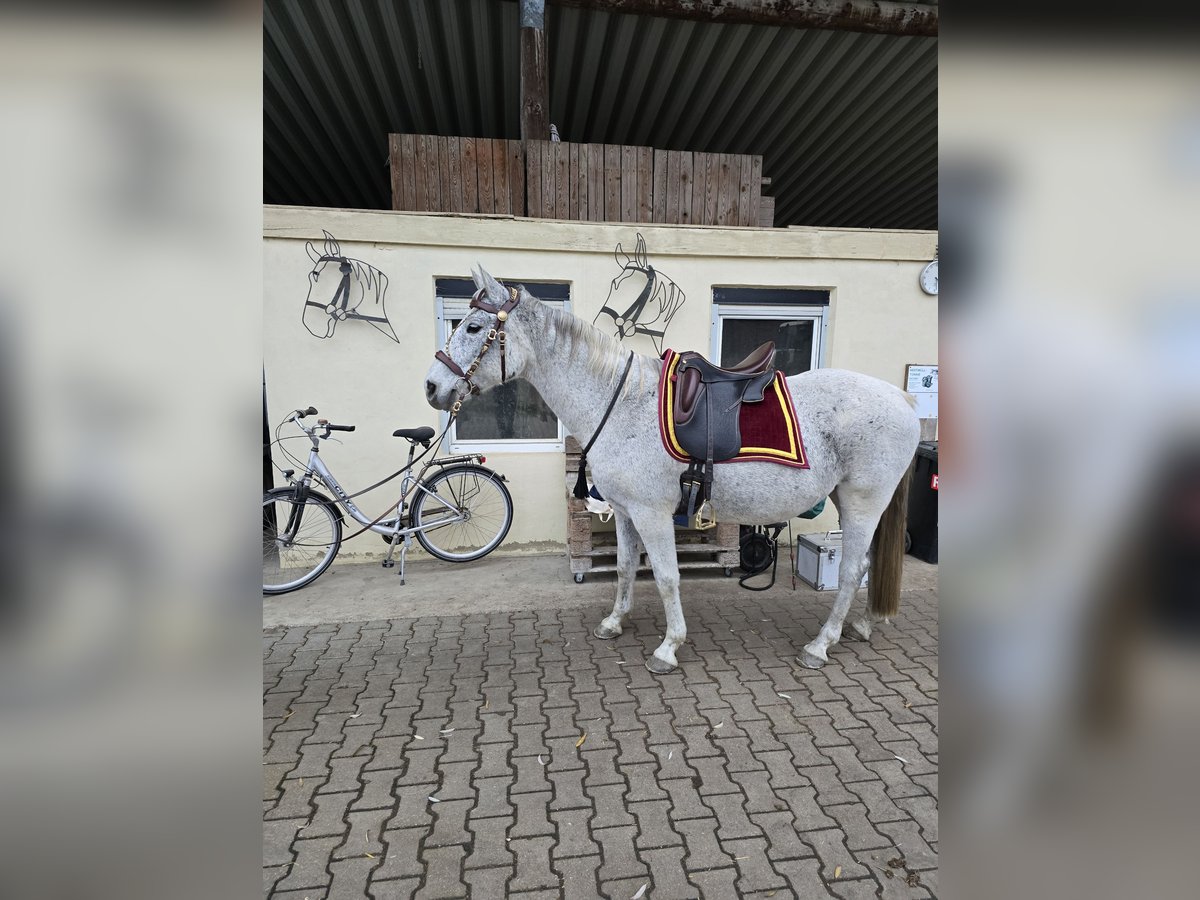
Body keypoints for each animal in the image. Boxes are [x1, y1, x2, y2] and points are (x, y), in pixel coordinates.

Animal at [427, 270, 921, 676]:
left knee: (853, 569)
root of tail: (903, 400)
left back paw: (820, 645)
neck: (622, 401)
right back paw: (862, 625)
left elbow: (666, 578)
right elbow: (626, 566)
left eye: (473, 327)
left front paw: (668, 648)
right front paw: (614, 622)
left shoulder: (652, 513)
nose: (432, 387)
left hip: (862, 501)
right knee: (867, 565)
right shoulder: (625, 512)